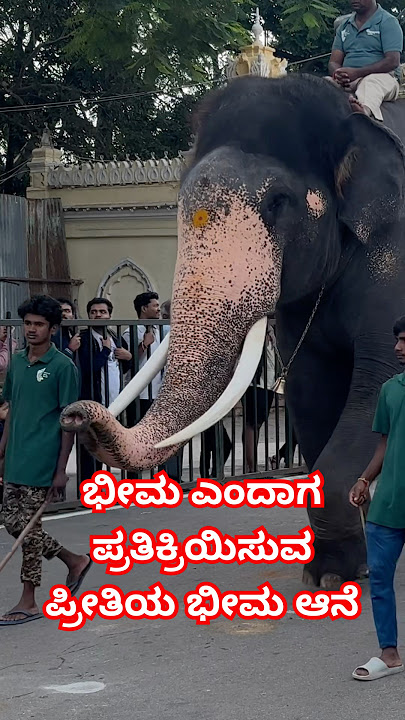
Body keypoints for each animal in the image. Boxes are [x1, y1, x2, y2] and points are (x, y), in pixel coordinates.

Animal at [61, 73, 405, 588]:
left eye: (278, 202)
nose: (74, 415)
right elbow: (311, 389)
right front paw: (333, 572)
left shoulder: (394, 258)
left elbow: (376, 384)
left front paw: (336, 573)